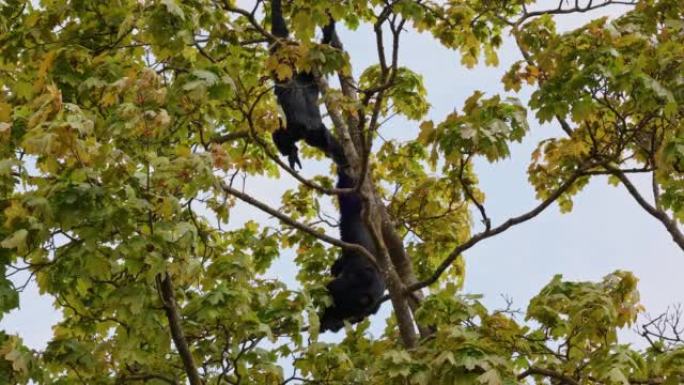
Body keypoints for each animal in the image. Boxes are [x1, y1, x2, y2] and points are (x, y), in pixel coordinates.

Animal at [270, 0, 344, 170]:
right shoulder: (309, 76)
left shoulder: (284, 78)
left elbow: (278, 36)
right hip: (321, 134)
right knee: (335, 147)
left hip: (301, 133)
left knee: (278, 132)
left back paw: (291, 151)